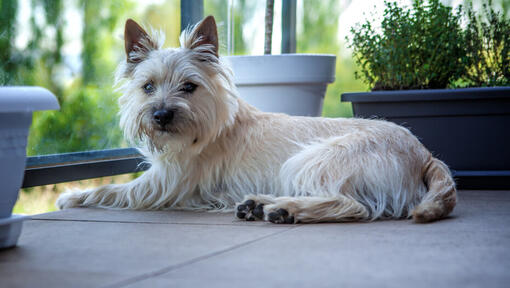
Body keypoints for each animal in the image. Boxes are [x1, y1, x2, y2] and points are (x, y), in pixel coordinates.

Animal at [57, 15, 456, 224]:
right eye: (148, 86)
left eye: (189, 87)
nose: (161, 115)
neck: (208, 127)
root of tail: (424, 153)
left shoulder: (163, 183)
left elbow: (112, 189)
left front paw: (73, 196)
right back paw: (259, 204)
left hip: (312, 159)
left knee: (350, 205)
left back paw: (284, 209)